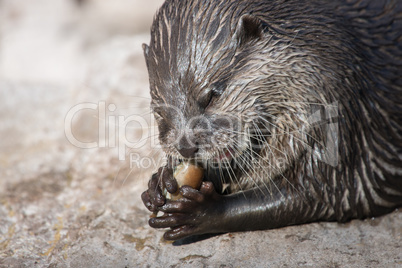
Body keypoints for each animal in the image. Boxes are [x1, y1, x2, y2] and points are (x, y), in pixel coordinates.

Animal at [141, 0, 402, 241]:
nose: (186, 147)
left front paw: (201, 211)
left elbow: (317, 195)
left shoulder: (340, 122)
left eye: (211, 97)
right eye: (159, 111)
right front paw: (159, 182)